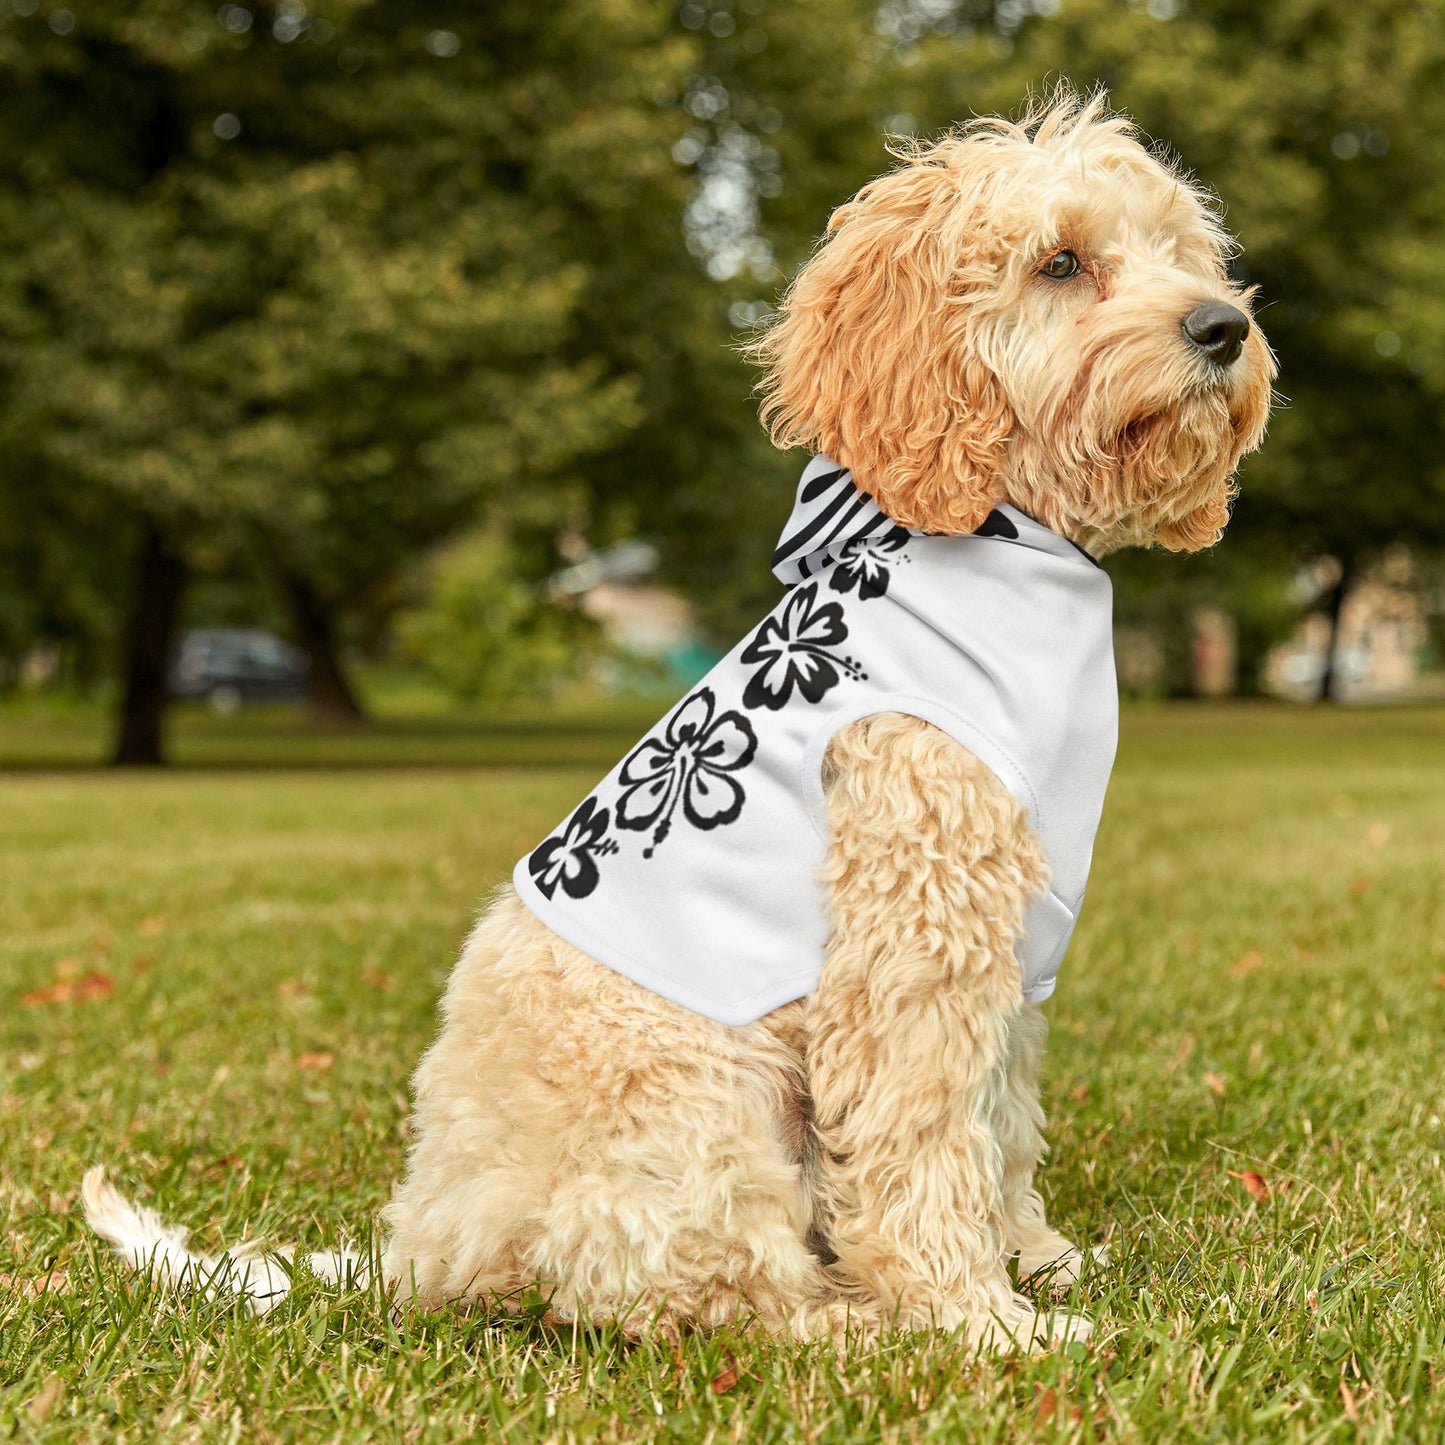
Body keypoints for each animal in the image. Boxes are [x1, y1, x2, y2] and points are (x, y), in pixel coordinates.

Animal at [84, 90, 1271, 1352]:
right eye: (1059, 261)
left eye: (1180, 252)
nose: (1221, 327)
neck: (1006, 537)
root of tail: (424, 1246)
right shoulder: (913, 936)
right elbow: (924, 1138)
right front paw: (977, 1319)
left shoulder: (1008, 940)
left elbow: (1000, 1121)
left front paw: (1036, 1259)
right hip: (702, 1102)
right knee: (702, 1292)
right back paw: (853, 1322)